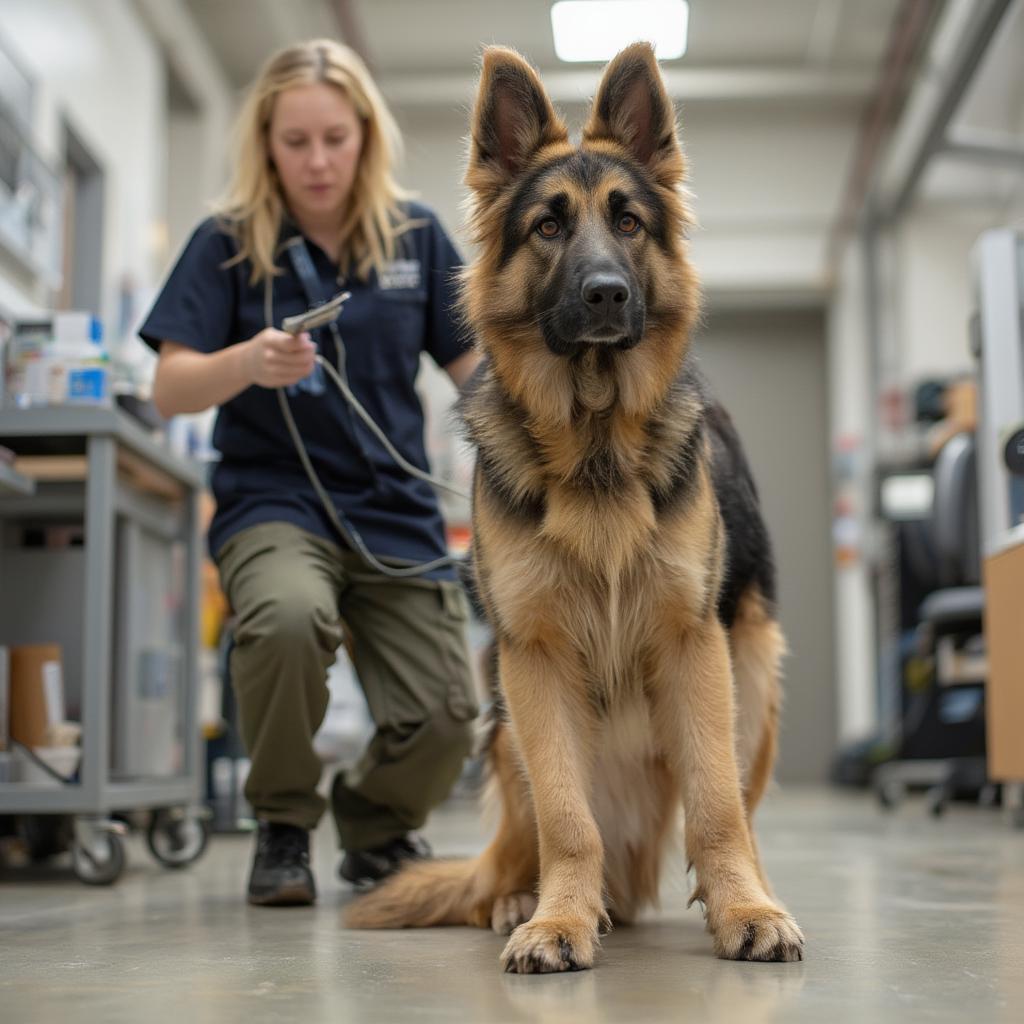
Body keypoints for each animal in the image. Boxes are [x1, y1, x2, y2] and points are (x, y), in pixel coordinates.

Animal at [348, 41, 802, 966]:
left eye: (628, 223)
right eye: (548, 226)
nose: (604, 294)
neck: (595, 448)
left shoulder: (696, 645)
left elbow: (715, 806)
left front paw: (743, 908)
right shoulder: (534, 659)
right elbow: (567, 817)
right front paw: (558, 918)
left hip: (751, 671)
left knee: (734, 803)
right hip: (502, 722)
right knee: (527, 844)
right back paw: (526, 897)